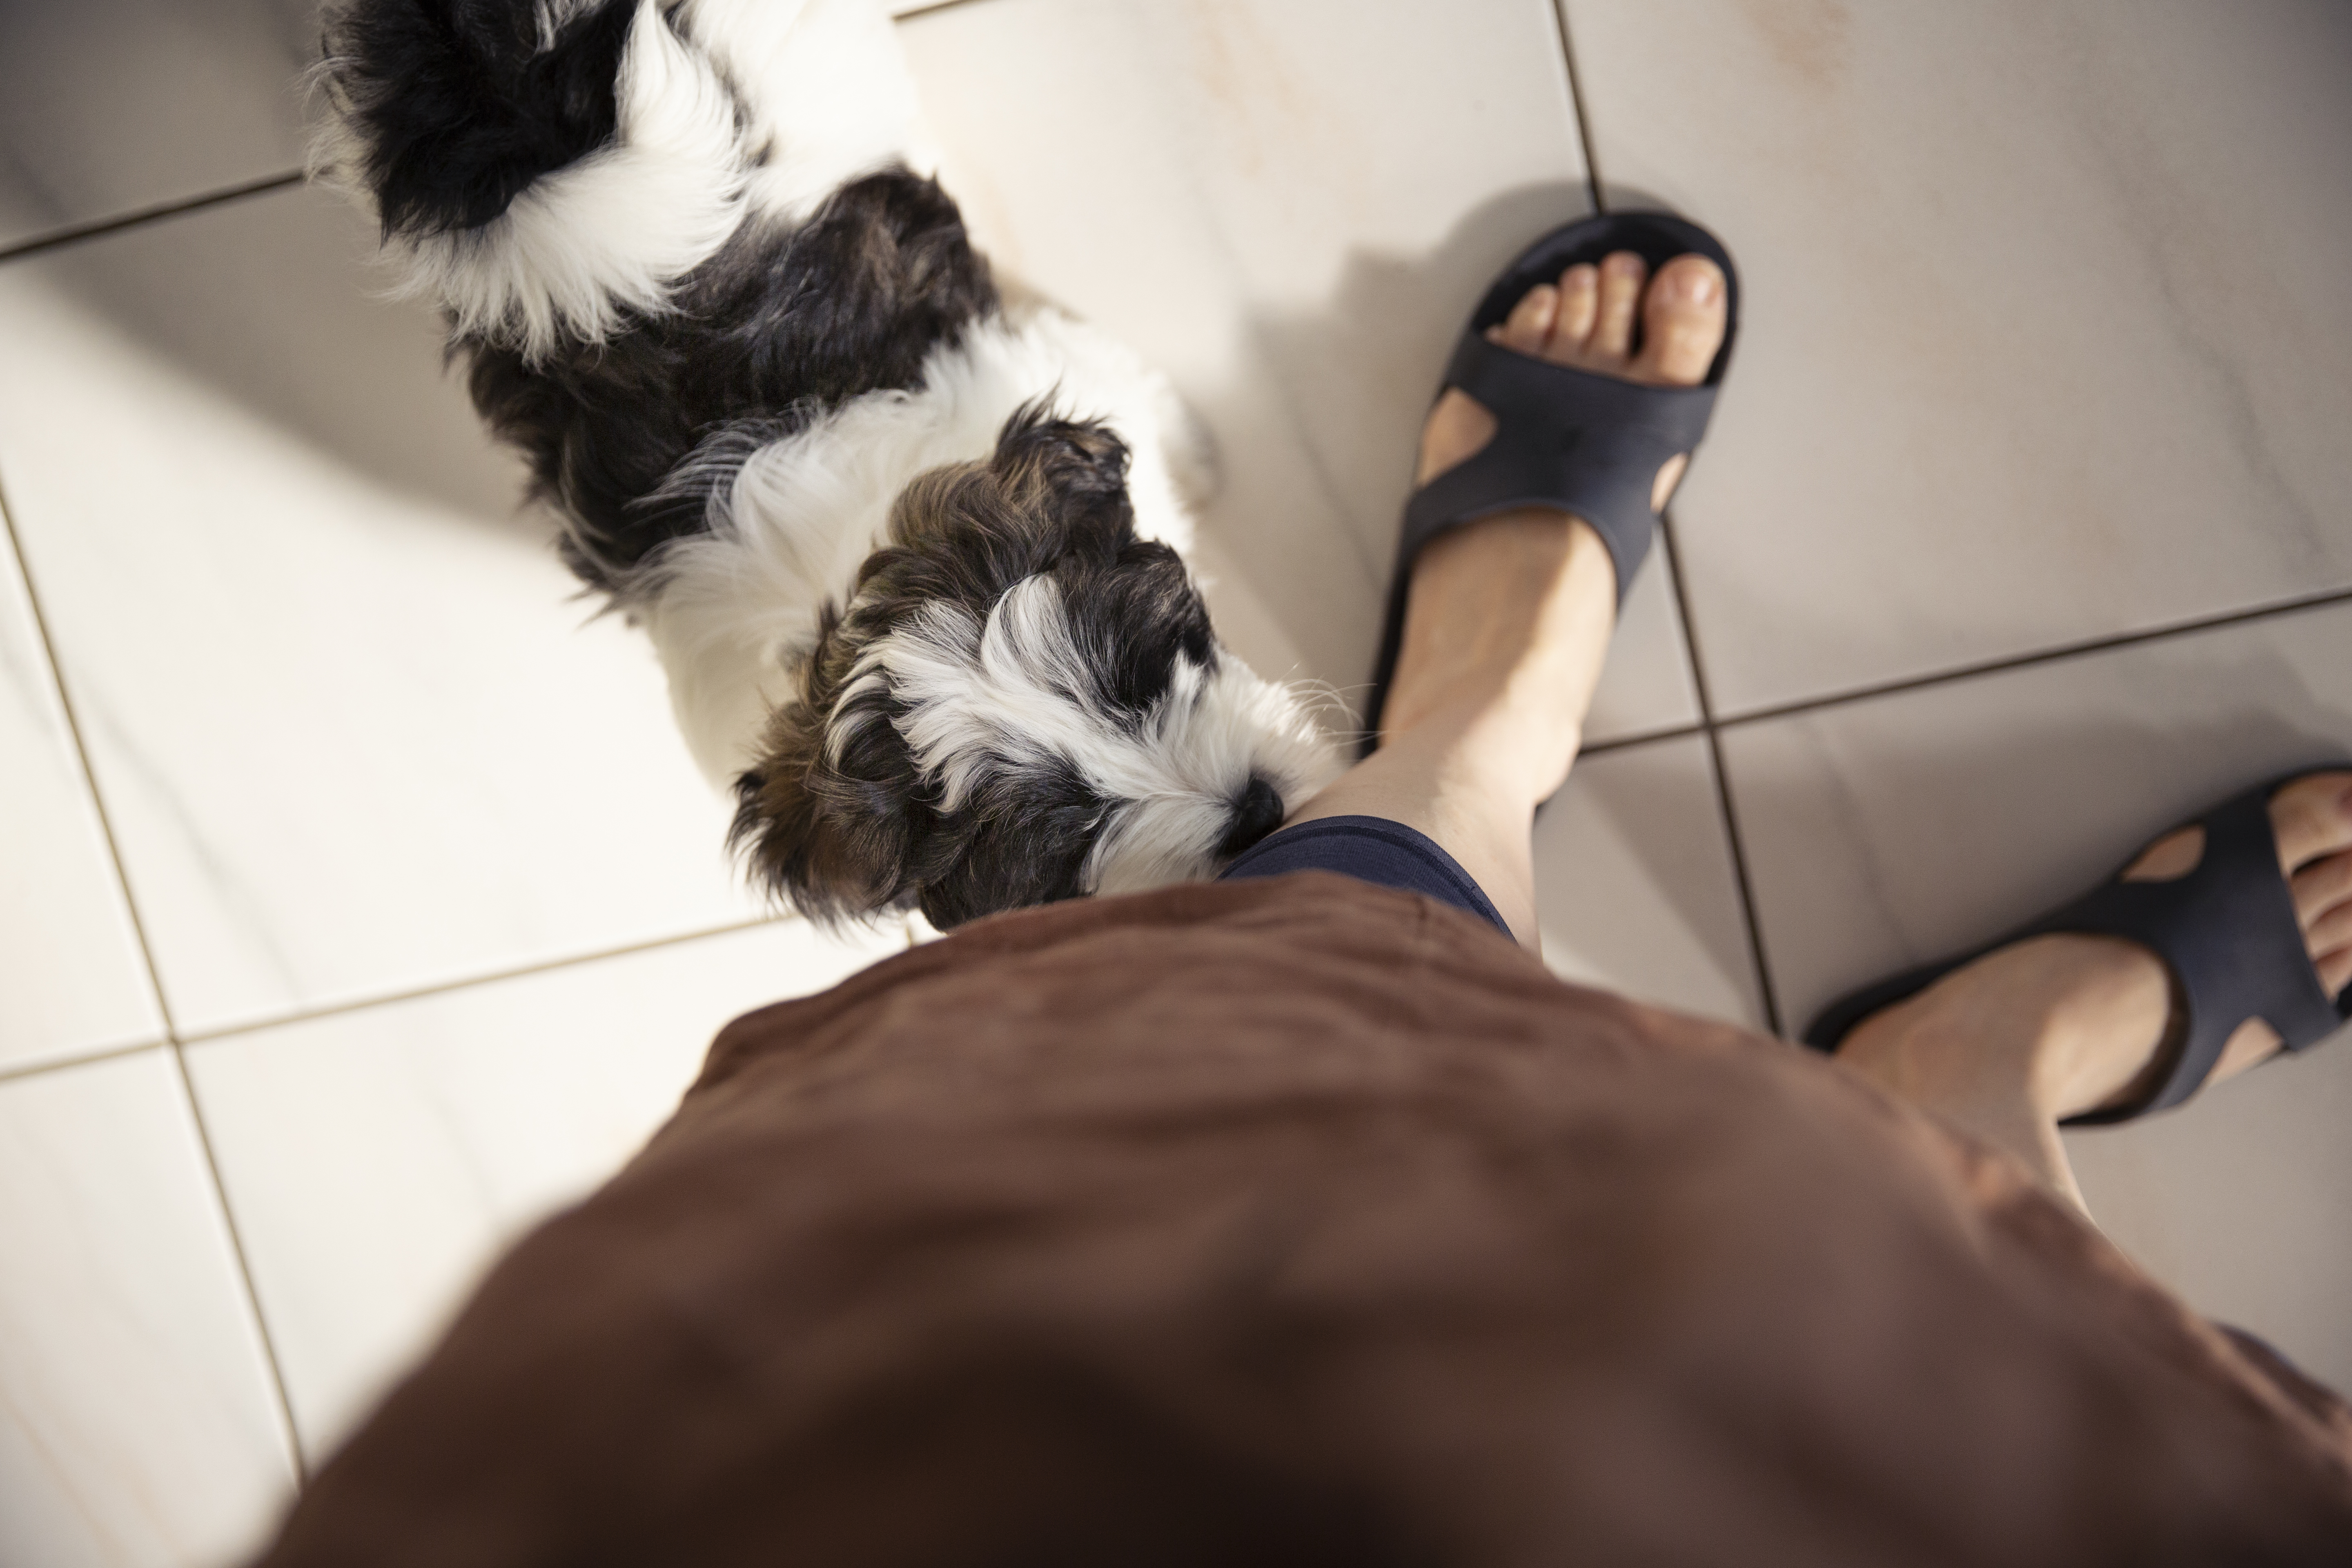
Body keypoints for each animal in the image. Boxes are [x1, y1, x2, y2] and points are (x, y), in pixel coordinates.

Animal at [313, 0, 1345, 926]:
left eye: (1138, 674)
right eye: (1066, 840)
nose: (1254, 810)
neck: (837, 579)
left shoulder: (1044, 368)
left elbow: (1133, 397)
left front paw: (1195, 459)